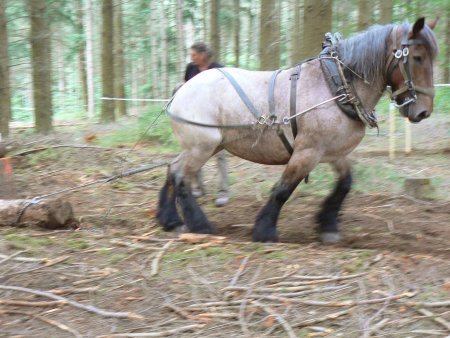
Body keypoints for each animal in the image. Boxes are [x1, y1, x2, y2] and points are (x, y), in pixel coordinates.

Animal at [156, 17, 438, 243]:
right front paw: (265, 231)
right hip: (202, 146)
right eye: (417, 58)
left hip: (207, 146)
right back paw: (200, 225)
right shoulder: (307, 151)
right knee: (182, 177)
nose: (423, 112)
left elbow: (345, 183)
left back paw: (169, 219)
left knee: (173, 168)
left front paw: (328, 225)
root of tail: (182, 89)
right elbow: (283, 189)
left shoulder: (333, 151)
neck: (336, 84)